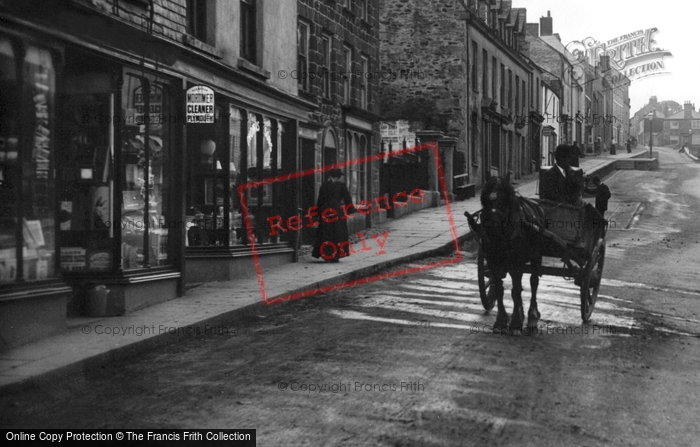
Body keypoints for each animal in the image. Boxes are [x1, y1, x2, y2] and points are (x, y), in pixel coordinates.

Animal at [476, 175, 548, 332]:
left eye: (503, 202)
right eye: (486, 202)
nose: (491, 228)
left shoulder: (516, 263)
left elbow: (515, 290)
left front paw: (515, 322)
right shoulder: (493, 262)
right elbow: (499, 288)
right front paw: (502, 321)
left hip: (535, 256)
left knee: (533, 282)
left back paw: (532, 315)